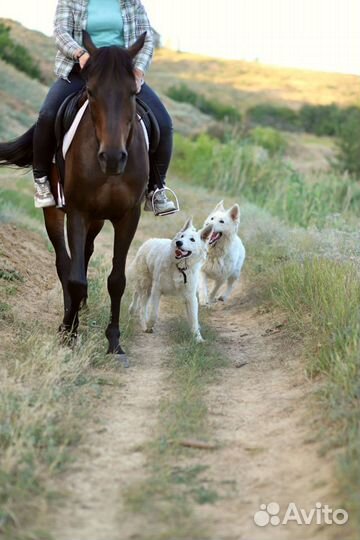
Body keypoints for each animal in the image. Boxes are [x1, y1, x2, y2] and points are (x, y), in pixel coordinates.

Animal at [0, 31, 149, 364]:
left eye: (133, 92)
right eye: (91, 92)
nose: (112, 158)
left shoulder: (128, 217)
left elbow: (117, 280)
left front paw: (114, 342)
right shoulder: (78, 212)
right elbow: (76, 278)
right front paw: (68, 333)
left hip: (97, 220)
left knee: (87, 253)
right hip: (56, 212)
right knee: (64, 263)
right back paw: (71, 314)